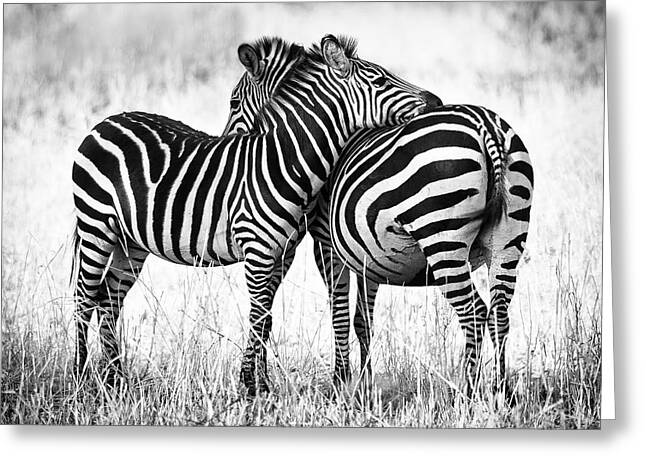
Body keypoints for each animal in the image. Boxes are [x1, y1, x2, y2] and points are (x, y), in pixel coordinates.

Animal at [71, 35, 436, 396]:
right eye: (380, 81)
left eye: (234, 102)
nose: (435, 100)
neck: (283, 161)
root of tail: (107, 120)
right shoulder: (267, 248)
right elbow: (263, 315)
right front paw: (251, 385)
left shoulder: (282, 251)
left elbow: (267, 317)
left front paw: (262, 385)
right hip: (95, 227)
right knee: (84, 298)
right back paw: (82, 376)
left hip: (129, 242)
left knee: (108, 301)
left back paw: (115, 380)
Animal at [226, 68, 532, 397]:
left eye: (234, 103)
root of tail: (484, 124)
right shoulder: (368, 253)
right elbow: (363, 320)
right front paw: (365, 384)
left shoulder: (326, 244)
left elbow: (338, 313)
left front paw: (340, 381)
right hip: (508, 240)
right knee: (499, 314)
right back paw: (502, 390)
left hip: (442, 236)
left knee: (474, 313)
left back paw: (468, 392)